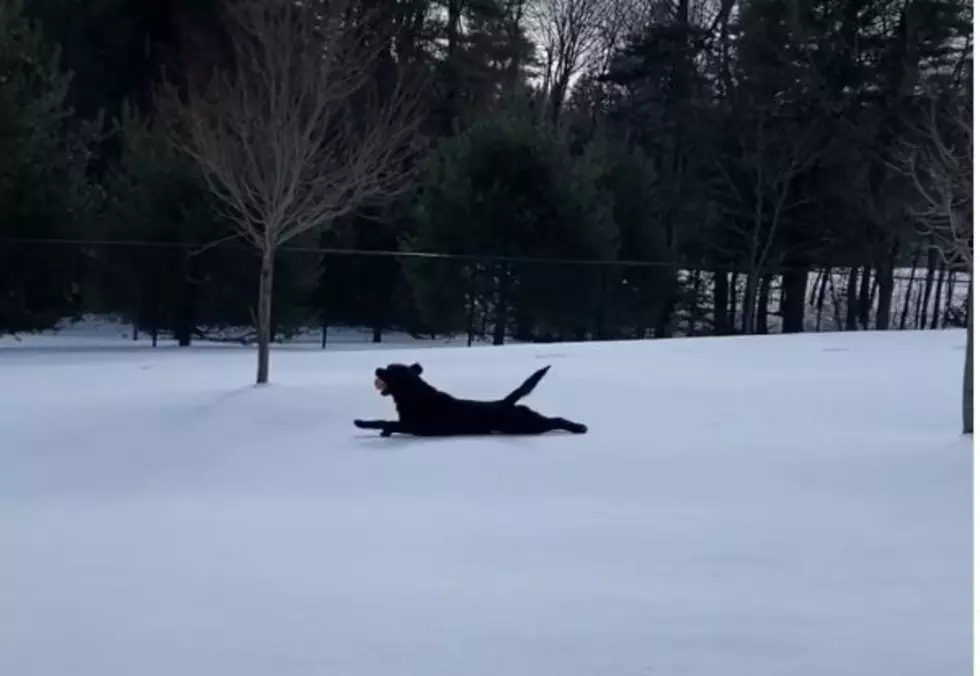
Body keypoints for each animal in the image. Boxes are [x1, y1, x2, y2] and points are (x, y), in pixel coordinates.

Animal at [352, 362, 584, 436]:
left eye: (390, 371)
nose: (377, 369)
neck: (414, 396)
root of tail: (505, 402)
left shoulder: (413, 426)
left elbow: (383, 421)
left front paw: (362, 423)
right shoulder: (406, 424)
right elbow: (387, 423)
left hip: (527, 425)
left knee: (555, 420)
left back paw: (579, 427)